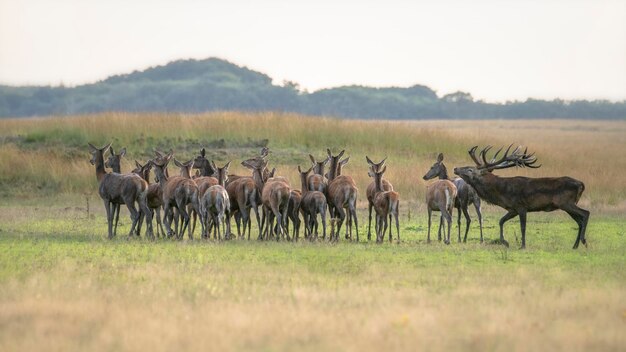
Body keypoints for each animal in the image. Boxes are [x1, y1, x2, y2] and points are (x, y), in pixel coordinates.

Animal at [450, 144, 588, 249]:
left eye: (470, 169)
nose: (455, 168)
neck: (501, 192)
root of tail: (581, 184)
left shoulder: (521, 206)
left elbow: (523, 227)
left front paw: (522, 245)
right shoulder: (512, 209)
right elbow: (501, 221)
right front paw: (505, 242)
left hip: (566, 202)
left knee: (585, 213)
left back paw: (583, 241)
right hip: (567, 205)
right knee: (579, 221)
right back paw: (575, 245)